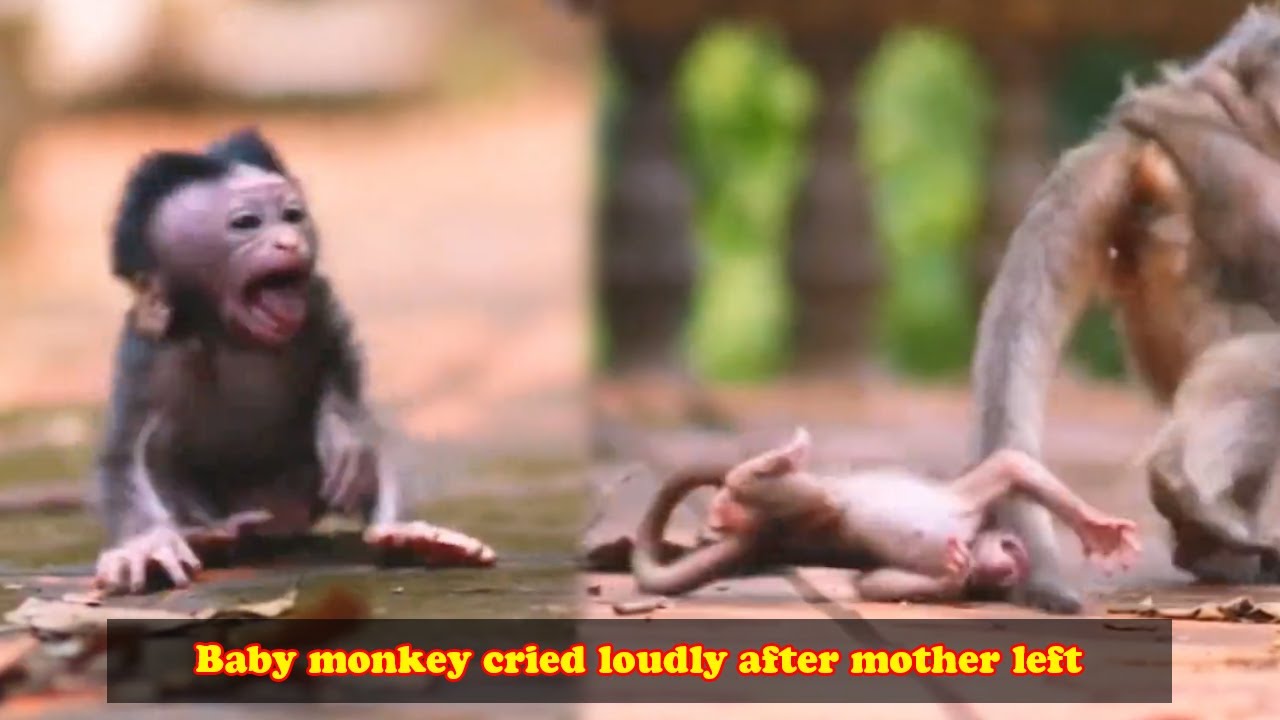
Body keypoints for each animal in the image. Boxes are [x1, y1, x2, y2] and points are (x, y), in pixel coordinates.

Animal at [93, 127, 497, 594]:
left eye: (292, 215)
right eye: (246, 223)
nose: (288, 240)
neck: (233, 334)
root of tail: (278, 517)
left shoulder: (316, 299)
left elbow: (342, 366)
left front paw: (340, 430)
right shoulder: (153, 348)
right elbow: (129, 452)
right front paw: (146, 544)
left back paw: (409, 535)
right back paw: (209, 535)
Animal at [632, 428, 1140, 601]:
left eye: (1001, 579)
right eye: (1011, 553)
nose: (1012, 565)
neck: (970, 536)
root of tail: (764, 538)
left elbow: (872, 584)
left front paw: (952, 577)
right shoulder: (967, 503)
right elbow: (1009, 465)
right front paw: (1100, 530)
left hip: (786, 523)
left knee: (818, 507)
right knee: (821, 497)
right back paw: (764, 468)